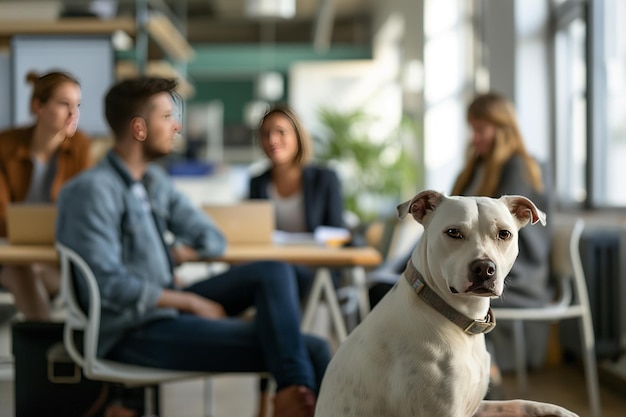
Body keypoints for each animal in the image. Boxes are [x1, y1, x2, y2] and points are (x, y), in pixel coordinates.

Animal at [314, 189, 576, 416]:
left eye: (504, 234)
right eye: (453, 232)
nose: (484, 268)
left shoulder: (475, 407)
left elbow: (517, 403)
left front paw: (558, 411)